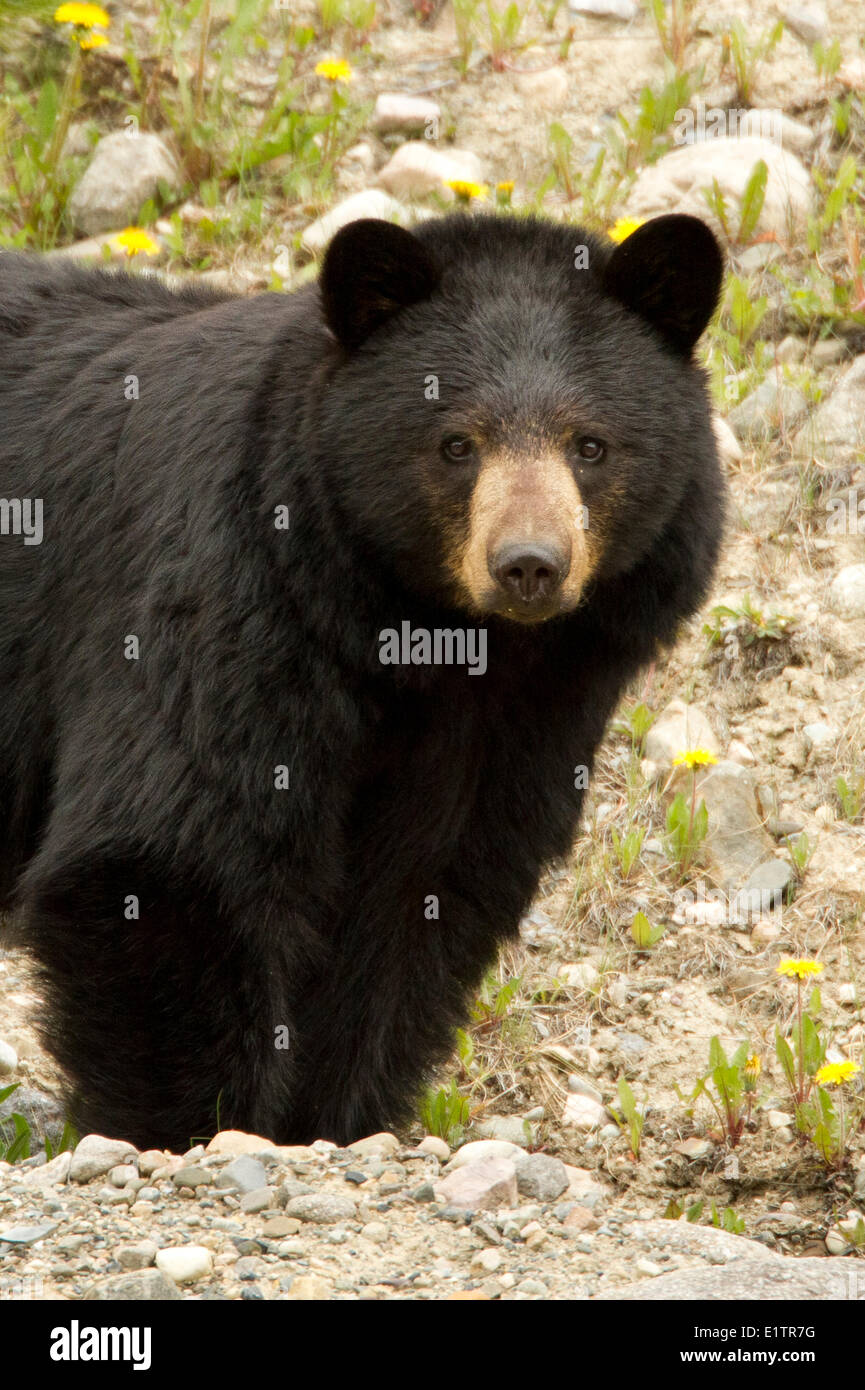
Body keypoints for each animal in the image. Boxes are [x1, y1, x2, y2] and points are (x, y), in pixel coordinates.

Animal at [0, 214, 723, 1150]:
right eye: (457, 444)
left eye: (590, 445)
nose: (528, 566)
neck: (428, 643)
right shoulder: (228, 593)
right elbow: (166, 851)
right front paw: (193, 1128)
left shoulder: (521, 714)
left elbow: (417, 897)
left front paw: (328, 1121)